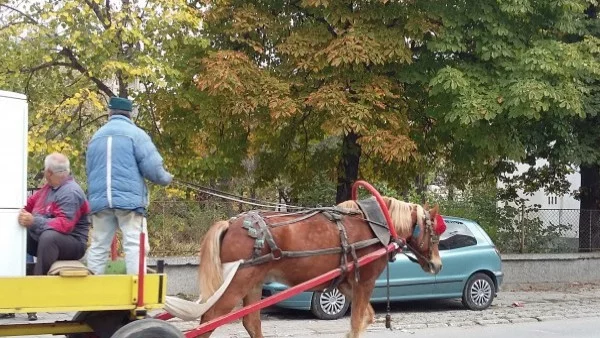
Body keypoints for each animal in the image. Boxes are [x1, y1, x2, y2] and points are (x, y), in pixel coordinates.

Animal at [197, 197, 446, 336]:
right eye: (434, 233)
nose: (438, 265)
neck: (376, 225)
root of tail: (231, 224)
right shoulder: (365, 282)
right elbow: (357, 322)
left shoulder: (347, 284)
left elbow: (365, 317)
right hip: (238, 282)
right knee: (209, 320)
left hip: (254, 284)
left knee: (251, 322)